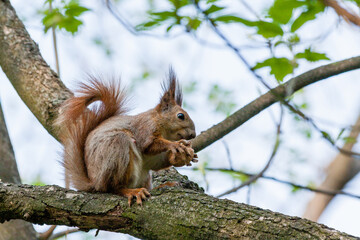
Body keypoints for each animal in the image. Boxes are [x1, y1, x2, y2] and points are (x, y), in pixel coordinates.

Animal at [54, 68, 198, 205]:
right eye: (181, 116)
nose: (193, 134)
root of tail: (94, 182)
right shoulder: (144, 128)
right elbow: (148, 145)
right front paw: (175, 145)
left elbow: (155, 162)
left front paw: (181, 157)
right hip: (117, 149)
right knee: (113, 188)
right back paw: (132, 191)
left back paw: (163, 186)